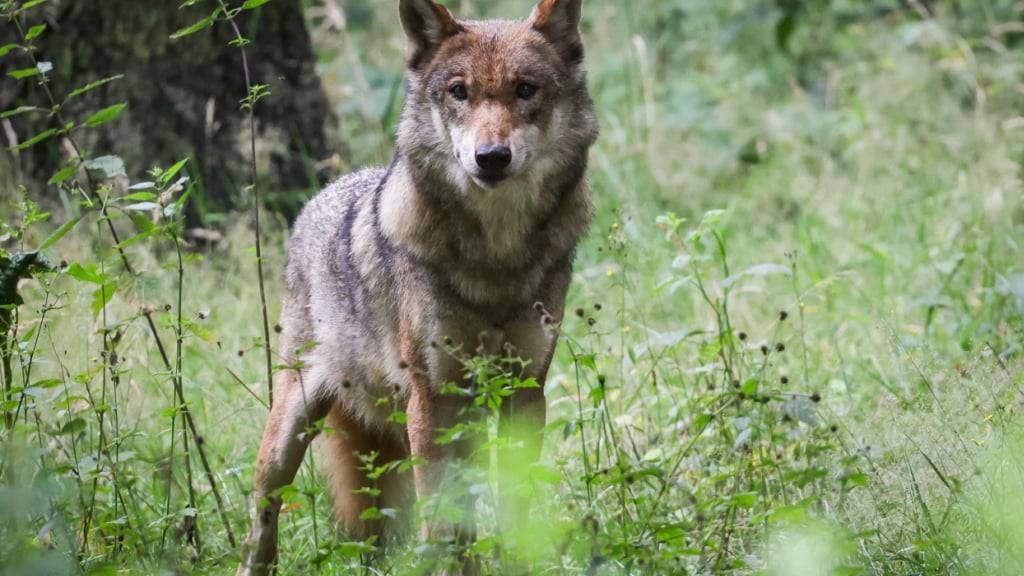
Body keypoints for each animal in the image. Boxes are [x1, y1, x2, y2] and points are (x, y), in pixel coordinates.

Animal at [234, 1, 598, 569]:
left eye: (525, 89)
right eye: (459, 92)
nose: (491, 157)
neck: (496, 259)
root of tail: (322, 195)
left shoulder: (523, 392)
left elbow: (512, 509)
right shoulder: (432, 399)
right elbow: (441, 518)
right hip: (292, 426)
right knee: (263, 515)